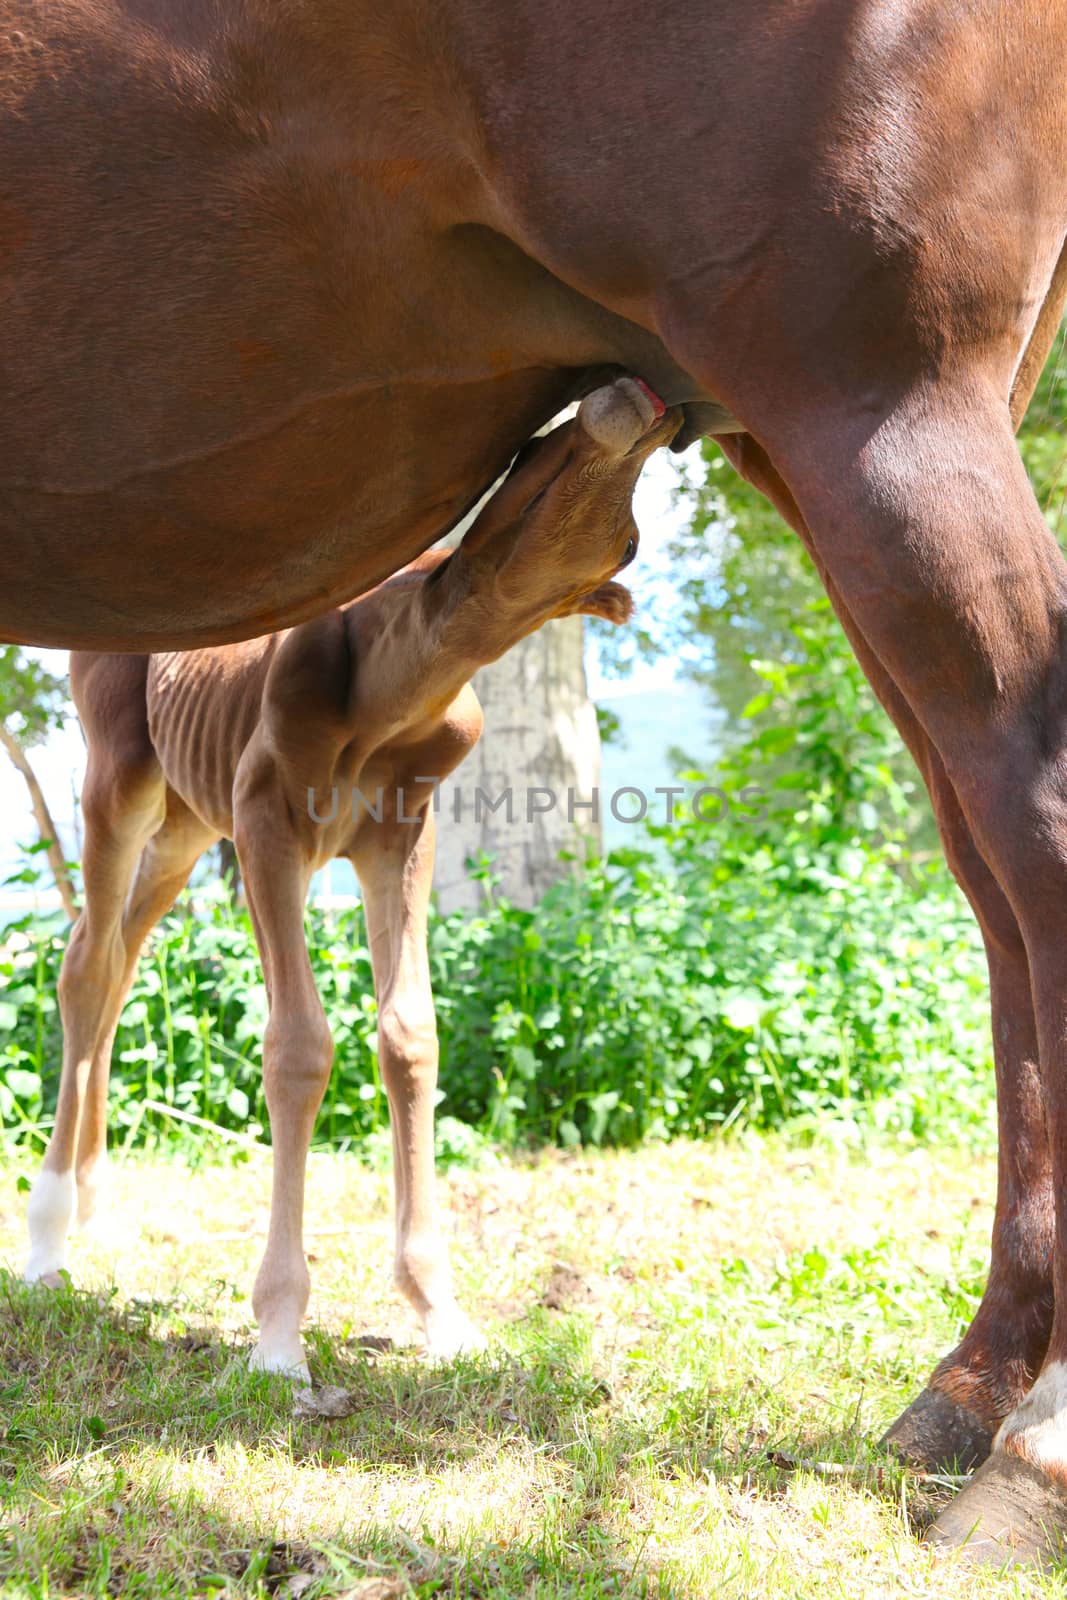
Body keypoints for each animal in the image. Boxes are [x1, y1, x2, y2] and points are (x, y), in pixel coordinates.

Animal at [24, 377, 681, 1376]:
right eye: (537, 462)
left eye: (629, 540)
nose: (642, 400)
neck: (387, 697)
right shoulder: (267, 822)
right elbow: (298, 1044)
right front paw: (278, 1334)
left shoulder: (401, 836)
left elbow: (409, 1035)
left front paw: (439, 1312)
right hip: (120, 776)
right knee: (87, 965)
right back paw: (48, 1235)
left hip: (187, 819)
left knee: (122, 953)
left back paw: (93, 1204)